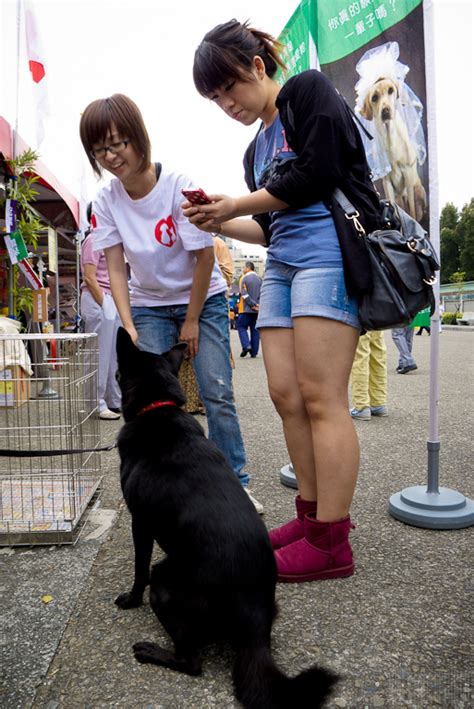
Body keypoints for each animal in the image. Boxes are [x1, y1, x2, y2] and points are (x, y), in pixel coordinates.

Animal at [115, 330, 336, 704]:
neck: (157, 409)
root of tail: (255, 625)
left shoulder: (140, 524)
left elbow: (138, 569)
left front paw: (130, 600)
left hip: (165, 584)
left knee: (192, 662)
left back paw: (152, 651)